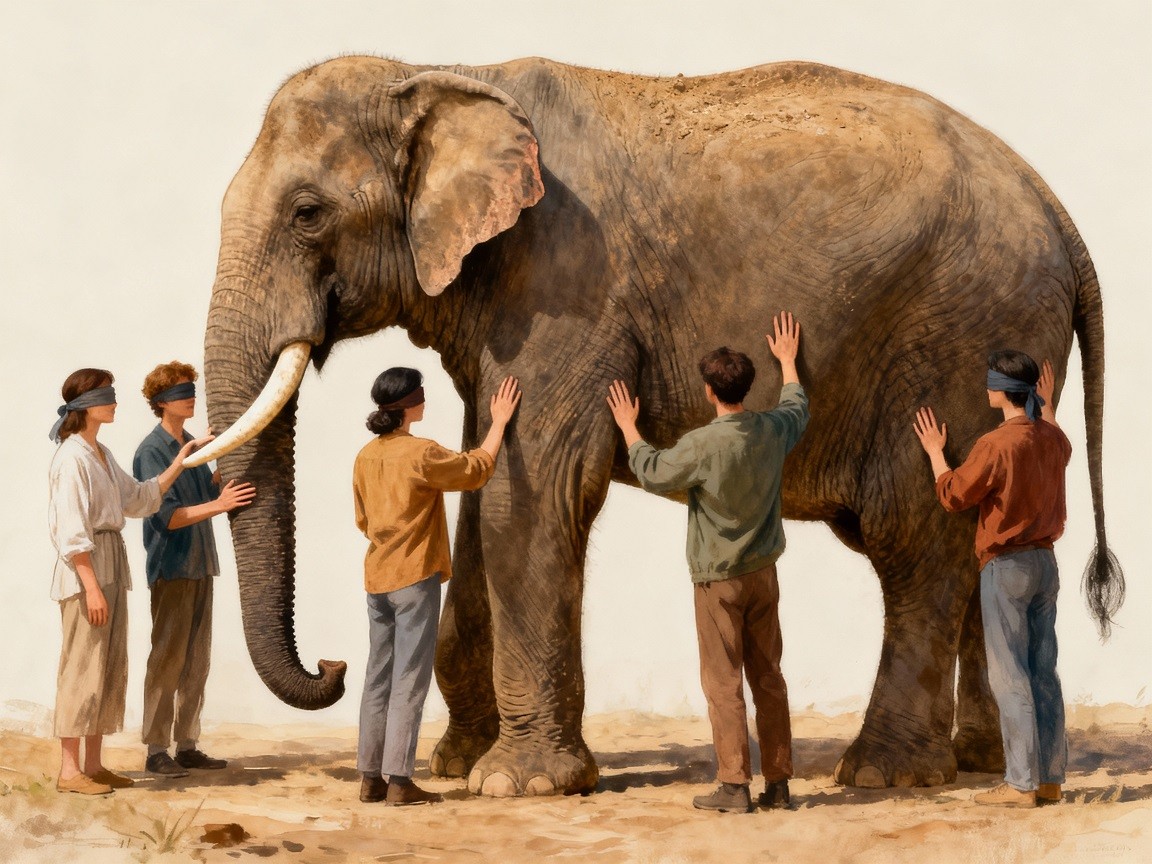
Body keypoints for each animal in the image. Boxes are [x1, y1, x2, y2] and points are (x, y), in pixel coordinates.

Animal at [190, 55, 1123, 796]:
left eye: (308, 213)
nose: (334, 666)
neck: (441, 71)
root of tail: (1060, 212)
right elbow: (482, 490)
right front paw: (461, 764)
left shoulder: (567, 282)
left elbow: (535, 497)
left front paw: (515, 785)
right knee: (971, 532)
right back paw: (978, 761)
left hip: (957, 335)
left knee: (914, 533)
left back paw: (885, 774)